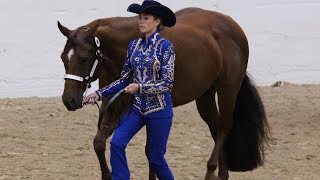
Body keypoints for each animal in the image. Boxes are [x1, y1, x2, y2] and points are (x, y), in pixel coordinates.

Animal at [57, 7, 268, 180]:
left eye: (83, 59)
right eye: (62, 58)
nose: (69, 100)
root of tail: (232, 25)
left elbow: (151, 150)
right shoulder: (114, 105)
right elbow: (100, 143)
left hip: (228, 89)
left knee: (225, 126)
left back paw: (211, 171)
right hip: (205, 95)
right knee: (215, 127)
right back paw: (222, 174)